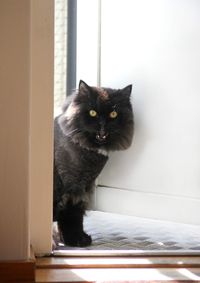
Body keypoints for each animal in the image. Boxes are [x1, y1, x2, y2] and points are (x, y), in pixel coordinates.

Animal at [54, 81, 134, 247]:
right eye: (92, 113)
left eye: (113, 114)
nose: (102, 125)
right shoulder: (72, 187)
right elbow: (70, 215)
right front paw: (75, 240)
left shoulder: (84, 187)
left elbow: (74, 215)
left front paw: (73, 238)